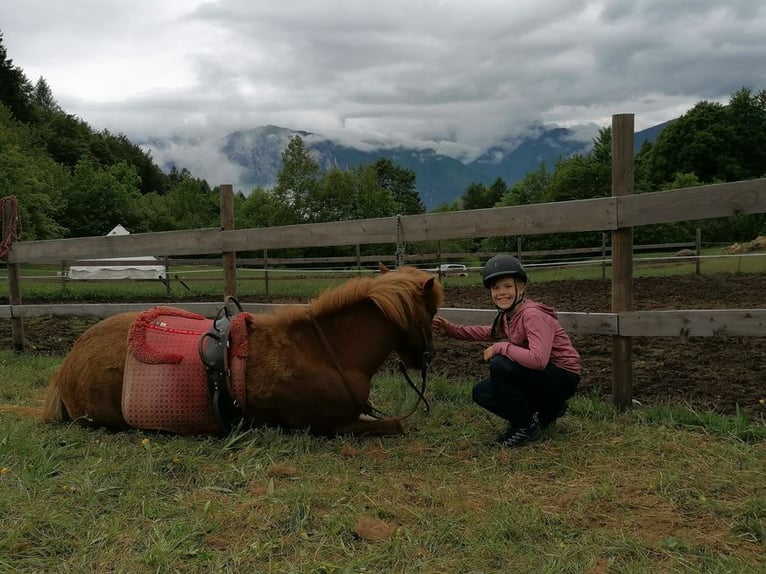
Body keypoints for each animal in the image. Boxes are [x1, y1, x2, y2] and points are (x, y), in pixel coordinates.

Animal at [41, 264, 444, 437]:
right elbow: (394, 426)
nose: (425, 358)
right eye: (431, 313)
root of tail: (67, 364)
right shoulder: (329, 426)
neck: (320, 351)